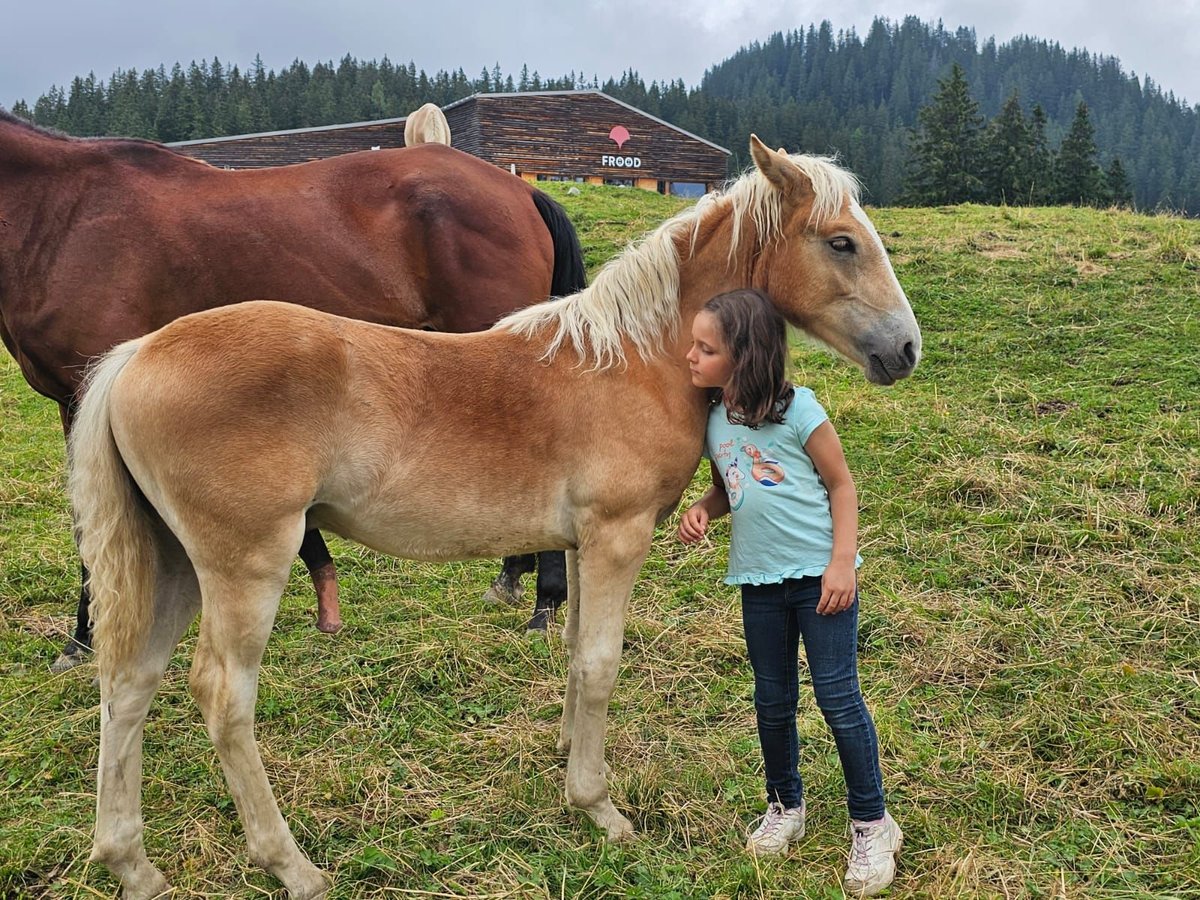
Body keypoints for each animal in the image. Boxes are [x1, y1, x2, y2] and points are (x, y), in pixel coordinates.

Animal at [0, 107, 580, 672]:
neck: (62, 217)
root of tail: (521, 191)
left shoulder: (87, 397)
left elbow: (95, 525)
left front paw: (85, 638)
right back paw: (513, 577)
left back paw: (545, 605)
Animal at [70, 137, 921, 897]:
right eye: (841, 241)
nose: (905, 350)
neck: (630, 360)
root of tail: (136, 355)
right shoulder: (616, 536)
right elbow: (600, 661)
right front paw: (598, 807)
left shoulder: (577, 543)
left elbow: (574, 649)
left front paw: (568, 758)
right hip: (246, 564)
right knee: (222, 695)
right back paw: (293, 867)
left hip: (171, 562)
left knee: (129, 681)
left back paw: (132, 865)